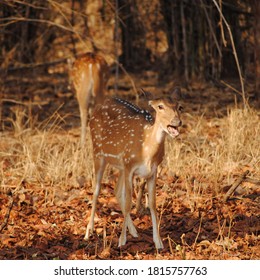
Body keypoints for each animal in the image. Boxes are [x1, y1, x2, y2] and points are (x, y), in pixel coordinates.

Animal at [86, 88, 183, 248]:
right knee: (96, 190)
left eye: (179, 106)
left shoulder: (152, 171)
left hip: (120, 165)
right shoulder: (129, 165)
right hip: (98, 152)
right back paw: (89, 231)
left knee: (116, 190)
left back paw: (133, 231)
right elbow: (128, 203)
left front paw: (158, 242)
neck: (147, 151)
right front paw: (121, 241)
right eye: (160, 106)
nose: (177, 121)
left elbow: (152, 204)